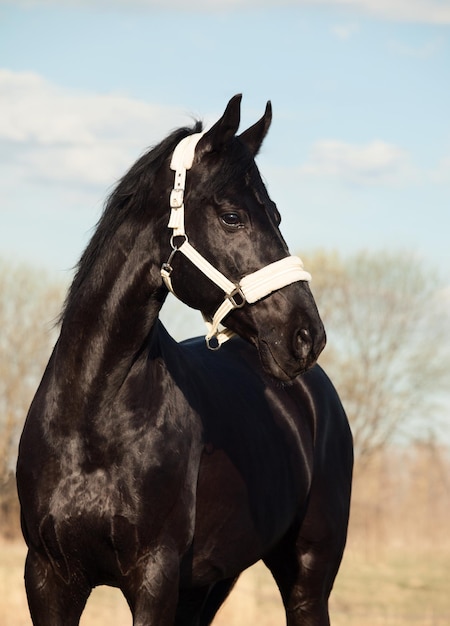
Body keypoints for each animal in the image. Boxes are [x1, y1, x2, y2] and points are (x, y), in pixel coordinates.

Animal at [16, 95, 352, 620]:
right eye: (232, 216)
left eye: (276, 215)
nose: (305, 335)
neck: (90, 419)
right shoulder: (48, 577)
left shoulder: (155, 577)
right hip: (211, 582)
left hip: (308, 577)